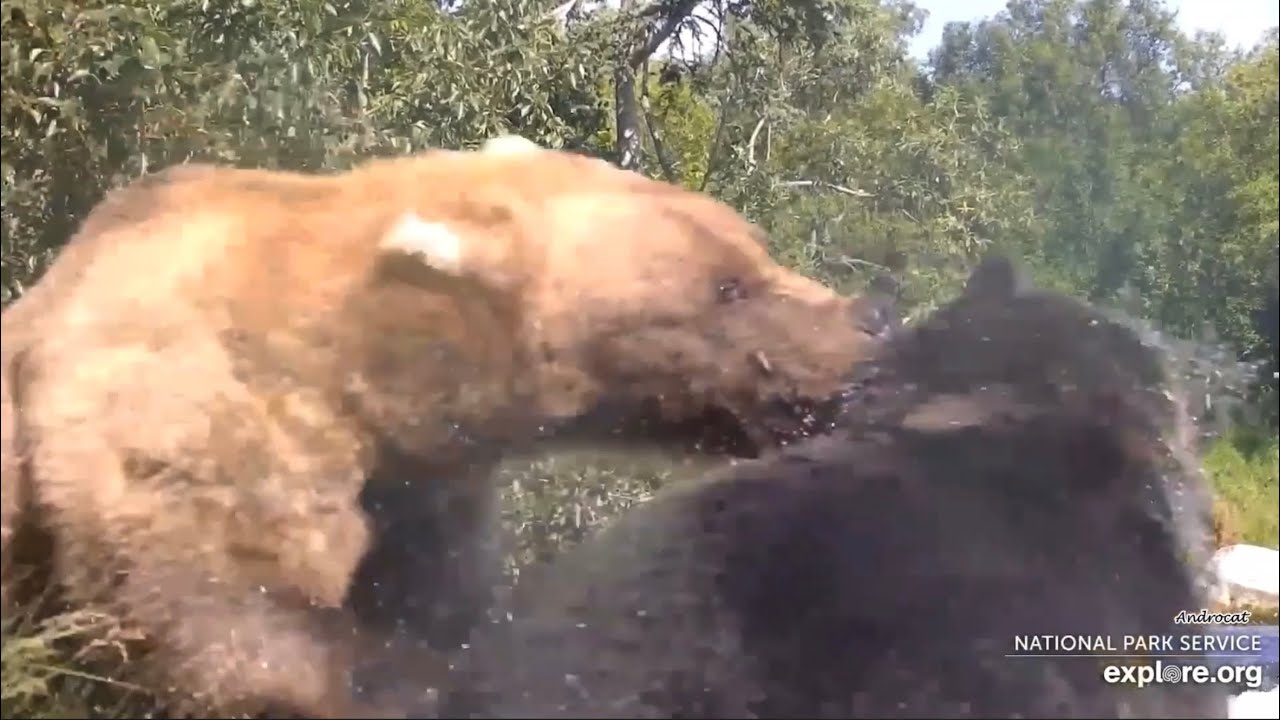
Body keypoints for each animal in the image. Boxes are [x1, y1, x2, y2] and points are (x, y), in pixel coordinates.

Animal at [0, 136, 896, 718]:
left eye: (753, 247)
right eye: (726, 288)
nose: (866, 323)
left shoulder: (429, 492)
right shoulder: (204, 407)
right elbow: (226, 606)